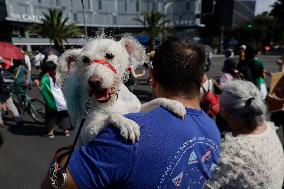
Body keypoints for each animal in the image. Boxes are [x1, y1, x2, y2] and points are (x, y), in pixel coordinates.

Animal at [56, 36, 185, 147]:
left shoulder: (138, 110)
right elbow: (111, 116)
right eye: (85, 60)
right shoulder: (86, 132)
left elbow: (156, 100)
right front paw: (127, 123)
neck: (113, 101)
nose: (94, 82)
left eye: (109, 55)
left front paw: (173, 103)